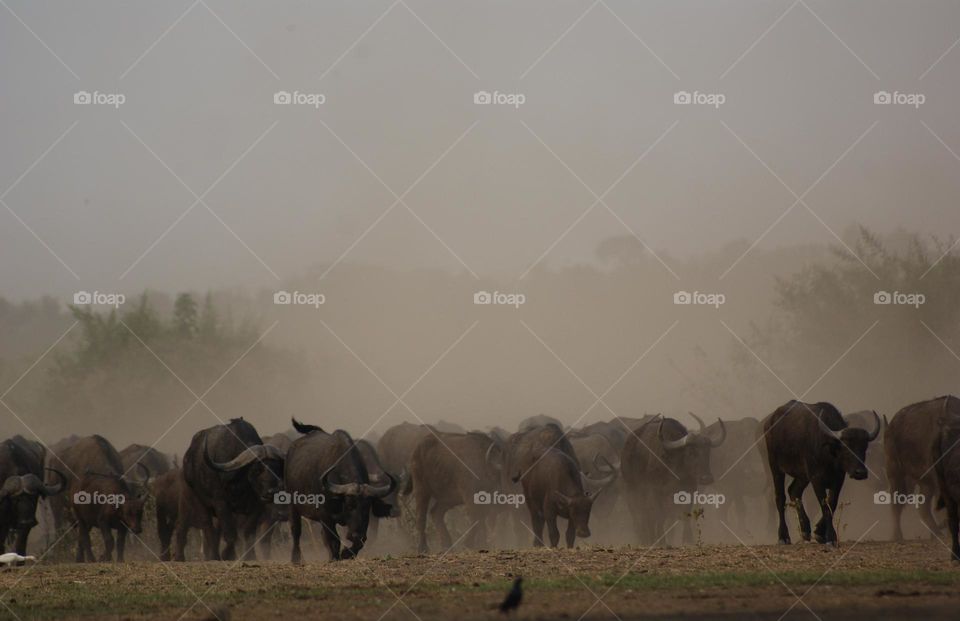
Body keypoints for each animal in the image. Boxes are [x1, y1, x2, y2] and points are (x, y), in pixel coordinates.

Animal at [763, 401, 879, 545]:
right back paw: (783, 537)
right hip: (775, 466)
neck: (828, 451)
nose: (860, 472)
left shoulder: (838, 479)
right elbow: (824, 505)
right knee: (780, 498)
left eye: (864, 447)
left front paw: (820, 533)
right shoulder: (816, 479)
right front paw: (830, 537)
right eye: (846, 448)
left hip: (802, 475)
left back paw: (805, 530)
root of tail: (769, 422)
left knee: (794, 491)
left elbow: (832, 503)